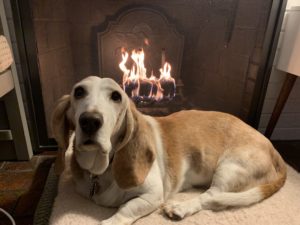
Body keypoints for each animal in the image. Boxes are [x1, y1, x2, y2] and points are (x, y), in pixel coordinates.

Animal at [51, 76, 286, 225]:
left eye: (116, 96)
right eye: (79, 91)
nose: (90, 121)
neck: (102, 170)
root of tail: (273, 148)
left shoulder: (152, 196)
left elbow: (125, 209)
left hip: (229, 168)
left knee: (212, 197)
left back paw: (180, 208)